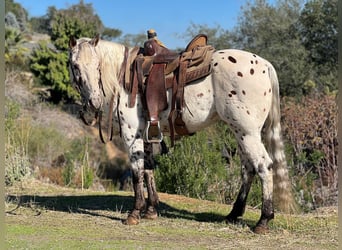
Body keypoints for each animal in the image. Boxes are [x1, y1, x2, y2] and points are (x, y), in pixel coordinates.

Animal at [68, 34, 296, 233]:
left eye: (97, 66)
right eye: (76, 66)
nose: (94, 102)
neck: (123, 75)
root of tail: (265, 65)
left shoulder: (131, 134)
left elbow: (136, 172)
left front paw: (134, 213)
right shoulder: (146, 133)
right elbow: (149, 169)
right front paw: (151, 210)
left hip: (247, 133)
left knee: (263, 166)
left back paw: (263, 220)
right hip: (239, 132)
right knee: (248, 168)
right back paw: (233, 214)